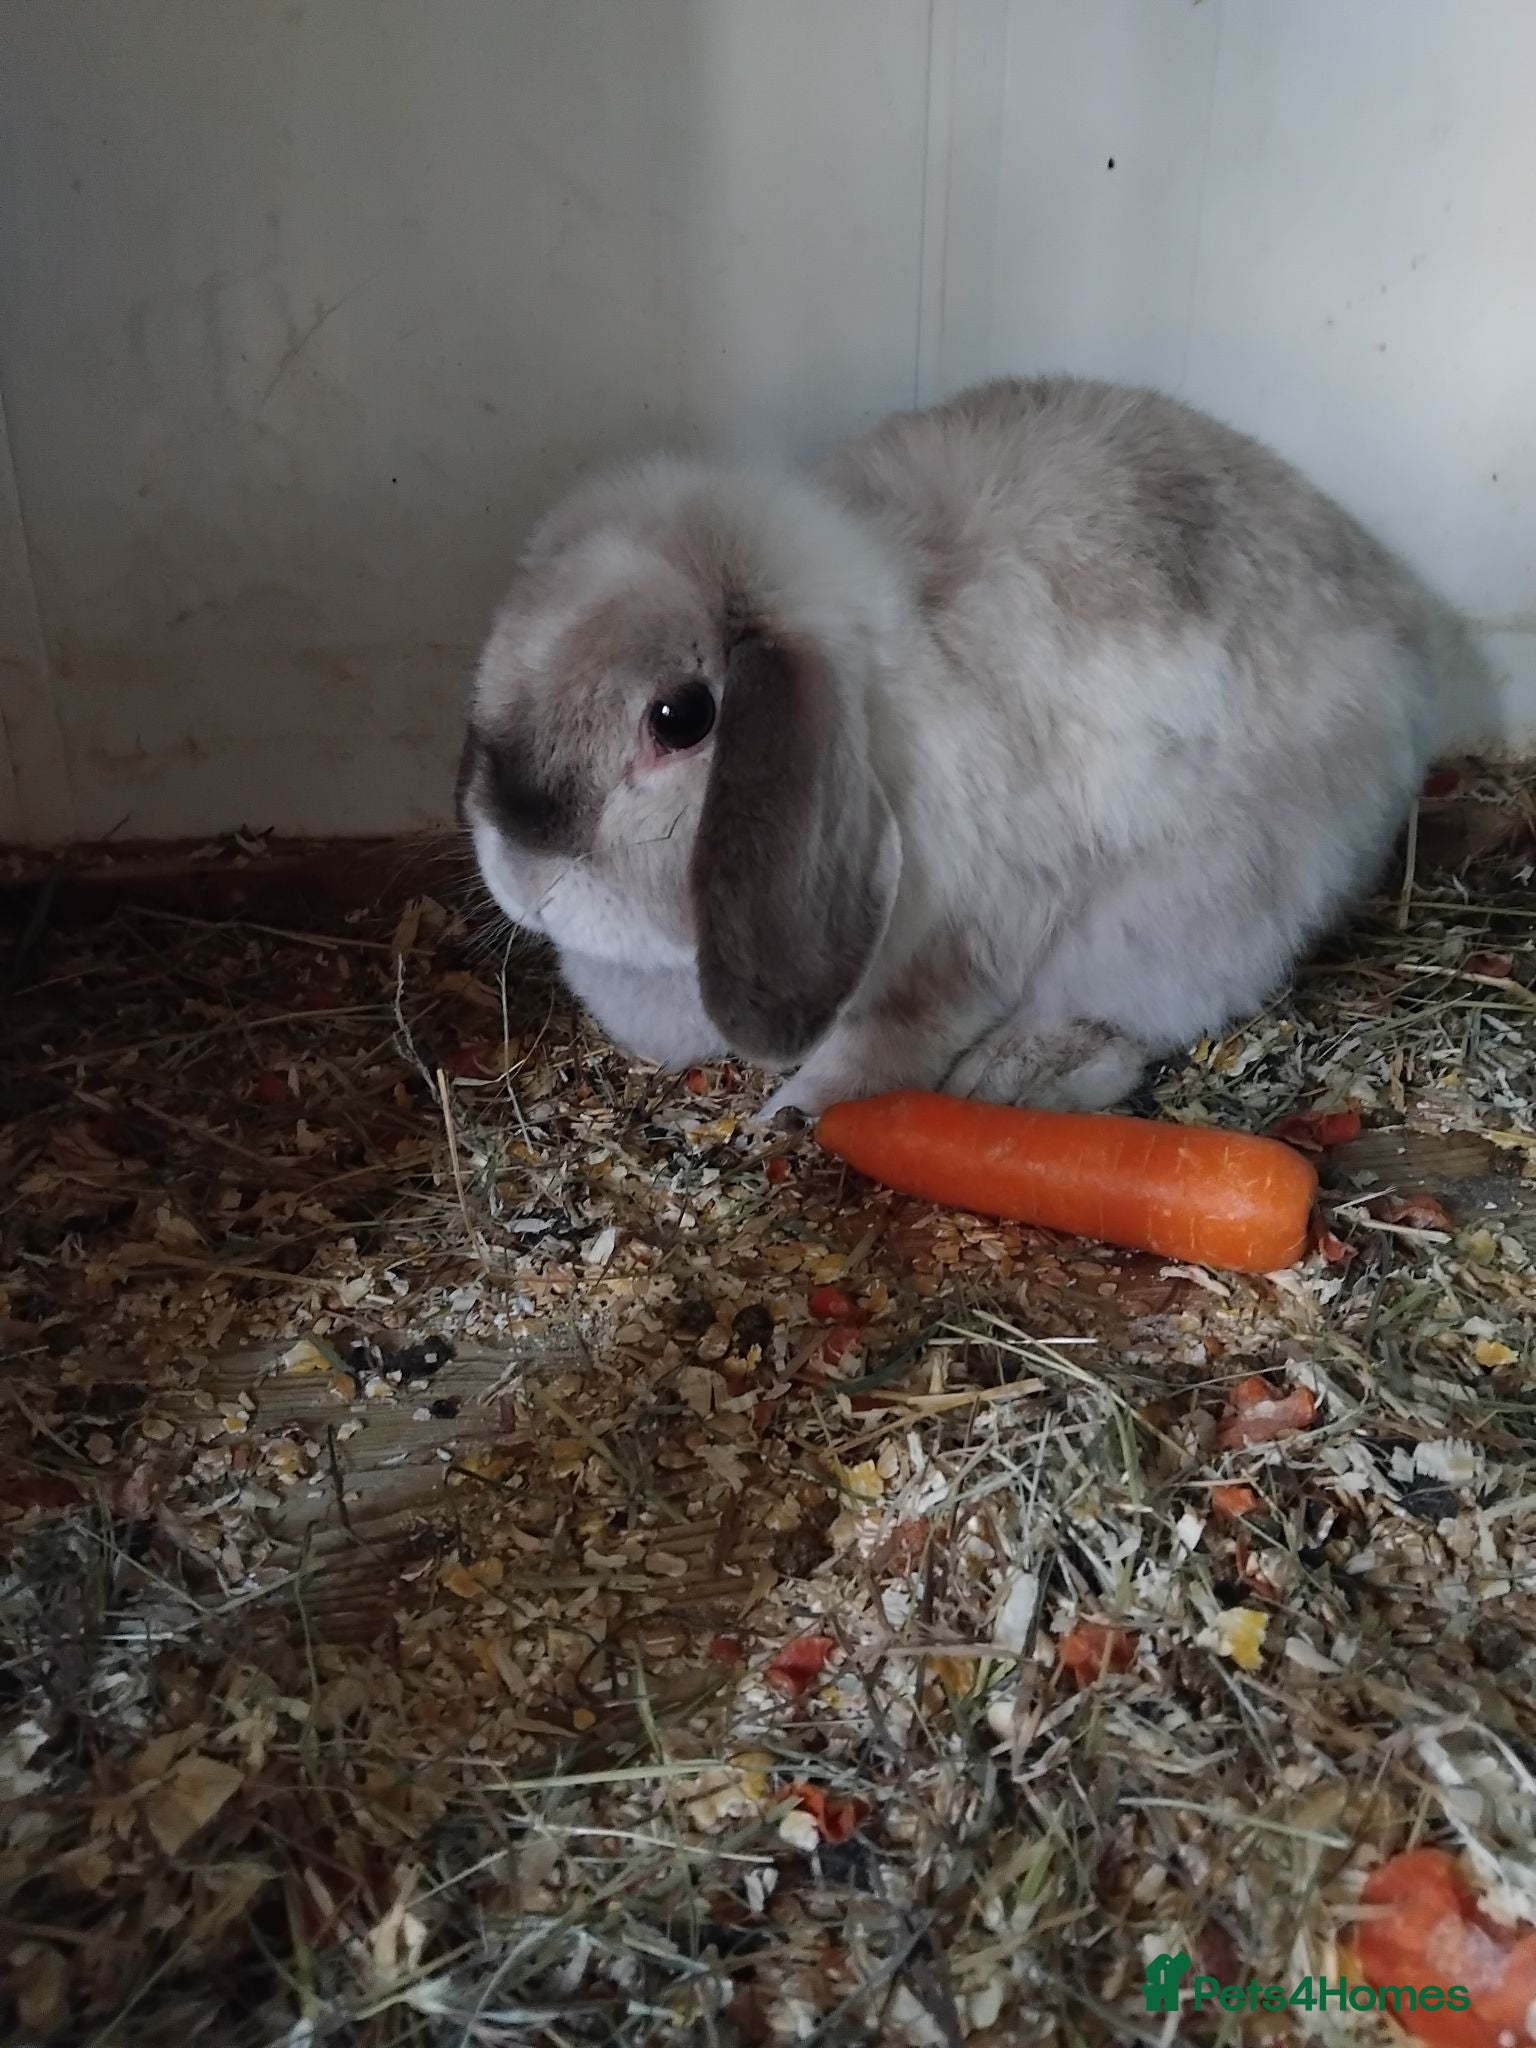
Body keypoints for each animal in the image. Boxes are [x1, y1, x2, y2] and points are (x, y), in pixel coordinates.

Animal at [459, 373, 1470, 1121]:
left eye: (678, 718)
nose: (519, 876)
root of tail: (1401, 612)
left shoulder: (972, 944)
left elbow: (892, 1043)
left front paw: (795, 1112)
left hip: (1198, 908)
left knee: (1134, 1014)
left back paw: (1016, 1077)